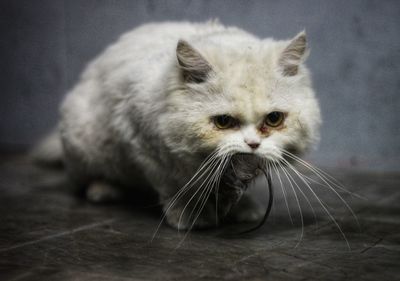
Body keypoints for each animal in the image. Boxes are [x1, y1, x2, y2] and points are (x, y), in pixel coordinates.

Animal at [35, 20, 322, 230]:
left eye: (274, 119)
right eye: (223, 121)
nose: (252, 144)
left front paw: (244, 209)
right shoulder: (143, 146)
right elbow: (174, 187)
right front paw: (190, 216)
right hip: (85, 147)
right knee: (84, 181)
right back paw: (104, 191)